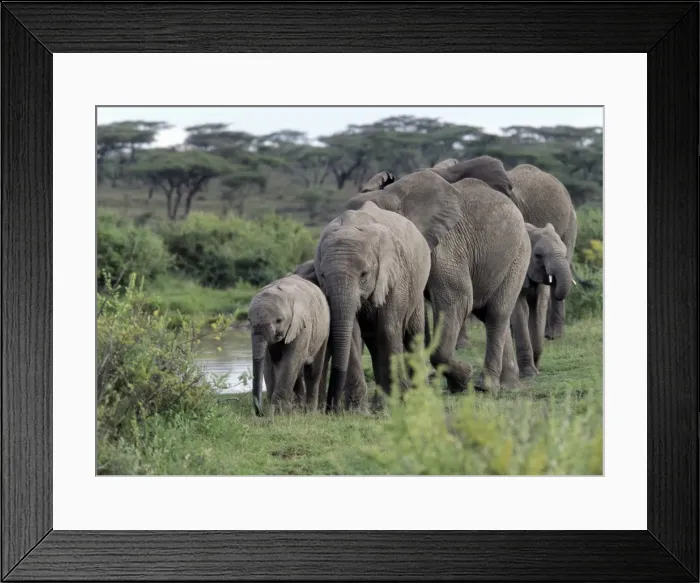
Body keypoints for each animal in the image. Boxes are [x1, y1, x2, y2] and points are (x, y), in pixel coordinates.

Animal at [248, 274, 330, 416]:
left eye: (279, 320)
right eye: (249, 320)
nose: (260, 413)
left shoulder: (303, 326)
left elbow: (292, 360)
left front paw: (277, 411)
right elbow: (268, 363)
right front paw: (276, 410)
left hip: (323, 331)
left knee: (313, 371)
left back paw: (309, 412)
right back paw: (296, 409)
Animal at [315, 198, 445, 413]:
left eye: (364, 275)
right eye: (323, 275)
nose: (330, 408)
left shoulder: (396, 275)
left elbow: (388, 329)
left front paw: (398, 405)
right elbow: (352, 333)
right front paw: (357, 411)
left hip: (417, 285)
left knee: (412, 336)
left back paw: (418, 399)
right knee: (374, 343)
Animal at [345, 167, 530, 395]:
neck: (393, 196)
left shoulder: (446, 246)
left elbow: (457, 300)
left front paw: (462, 379)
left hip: (518, 255)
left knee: (497, 313)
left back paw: (486, 387)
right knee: (487, 313)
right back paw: (508, 384)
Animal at [511, 223, 573, 378]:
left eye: (565, 251)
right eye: (538, 256)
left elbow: (539, 308)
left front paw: (537, 368)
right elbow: (520, 309)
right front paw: (529, 374)